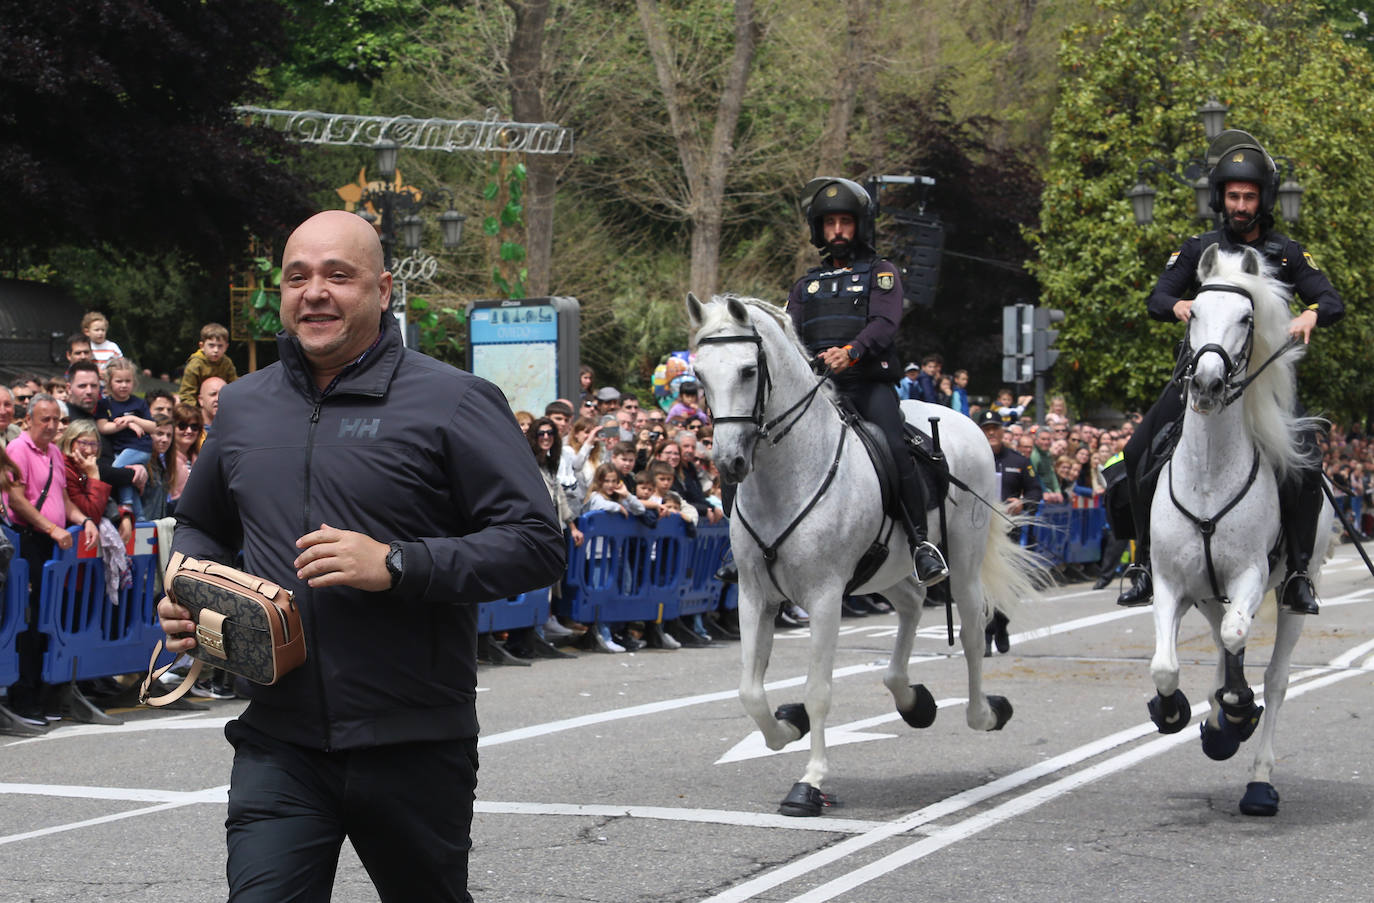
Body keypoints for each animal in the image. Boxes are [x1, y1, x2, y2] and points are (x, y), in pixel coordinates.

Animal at [687, 292, 1038, 813]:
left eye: (749, 371)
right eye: (699, 374)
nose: (728, 462)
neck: (788, 475)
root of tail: (962, 420)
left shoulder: (825, 597)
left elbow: (818, 691)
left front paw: (810, 781)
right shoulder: (755, 595)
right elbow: (750, 691)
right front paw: (787, 726)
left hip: (963, 565)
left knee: (973, 632)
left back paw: (984, 713)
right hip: (886, 570)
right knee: (912, 606)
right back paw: (912, 701)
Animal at [1148, 244, 1330, 819]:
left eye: (1247, 319)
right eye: (1194, 313)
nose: (1206, 385)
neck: (1209, 472)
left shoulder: (1249, 575)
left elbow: (1237, 642)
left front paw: (1237, 712)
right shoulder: (1170, 583)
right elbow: (1166, 665)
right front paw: (1174, 711)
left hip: (1293, 594)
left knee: (1273, 675)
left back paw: (1256, 775)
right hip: (1208, 593)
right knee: (1223, 642)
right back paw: (1218, 719)